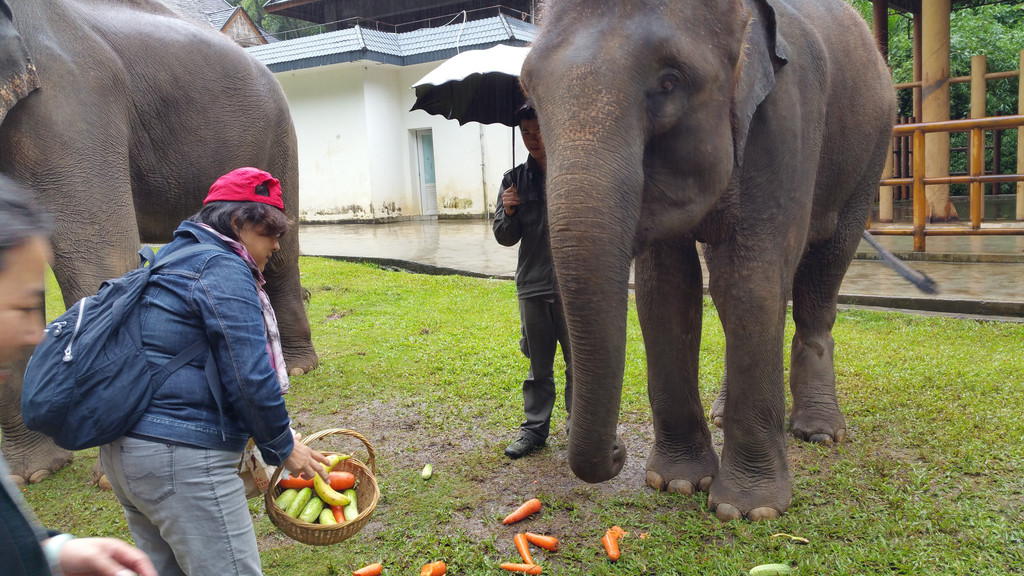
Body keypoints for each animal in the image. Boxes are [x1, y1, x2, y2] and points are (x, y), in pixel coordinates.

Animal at [0, 0, 317, 483]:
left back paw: (299, 368)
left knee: (282, 256)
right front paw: (33, 475)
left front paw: (107, 475)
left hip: (279, 136)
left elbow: (100, 255)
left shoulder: (68, 100)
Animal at [520, 0, 897, 520]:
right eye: (529, 91)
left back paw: (820, 432)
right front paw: (676, 483)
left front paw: (749, 510)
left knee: (825, 268)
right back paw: (723, 414)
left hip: (870, 152)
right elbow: (666, 290)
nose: (617, 450)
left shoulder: (787, 116)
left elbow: (749, 284)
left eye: (669, 81)